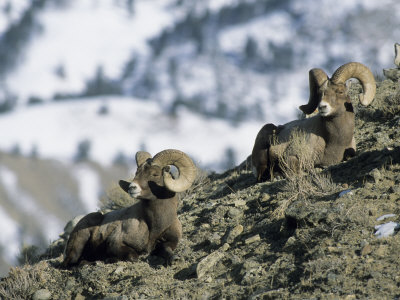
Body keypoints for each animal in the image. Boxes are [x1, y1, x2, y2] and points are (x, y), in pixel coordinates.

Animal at [62, 149, 197, 266]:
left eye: (155, 174)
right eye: (137, 173)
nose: (132, 187)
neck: (155, 226)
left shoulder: (171, 240)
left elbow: (166, 249)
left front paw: (173, 258)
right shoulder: (116, 243)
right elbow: (133, 256)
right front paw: (110, 259)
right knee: (70, 263)